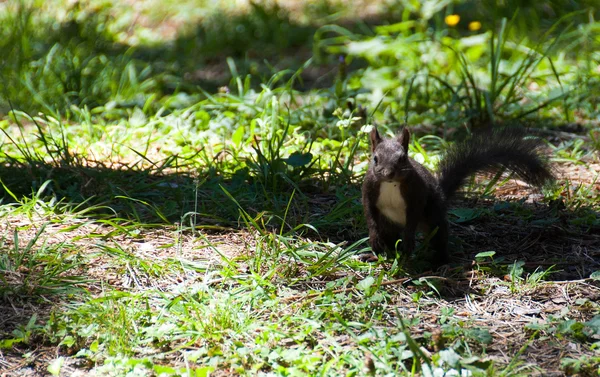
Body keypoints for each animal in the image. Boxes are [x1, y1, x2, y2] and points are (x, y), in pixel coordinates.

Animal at [360, 126, 552, 264]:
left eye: (403, 158)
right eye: (375, 159)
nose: (388, 173)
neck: (390, 184)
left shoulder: (417, 194)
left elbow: (413, 215)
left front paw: (408, 240)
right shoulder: (368, 189)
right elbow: (369, 212)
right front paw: (373, 237)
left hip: (434, 219)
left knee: (439, 238)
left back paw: (439, 261)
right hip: (387, 224)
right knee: (388, 241)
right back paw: (376, 254)